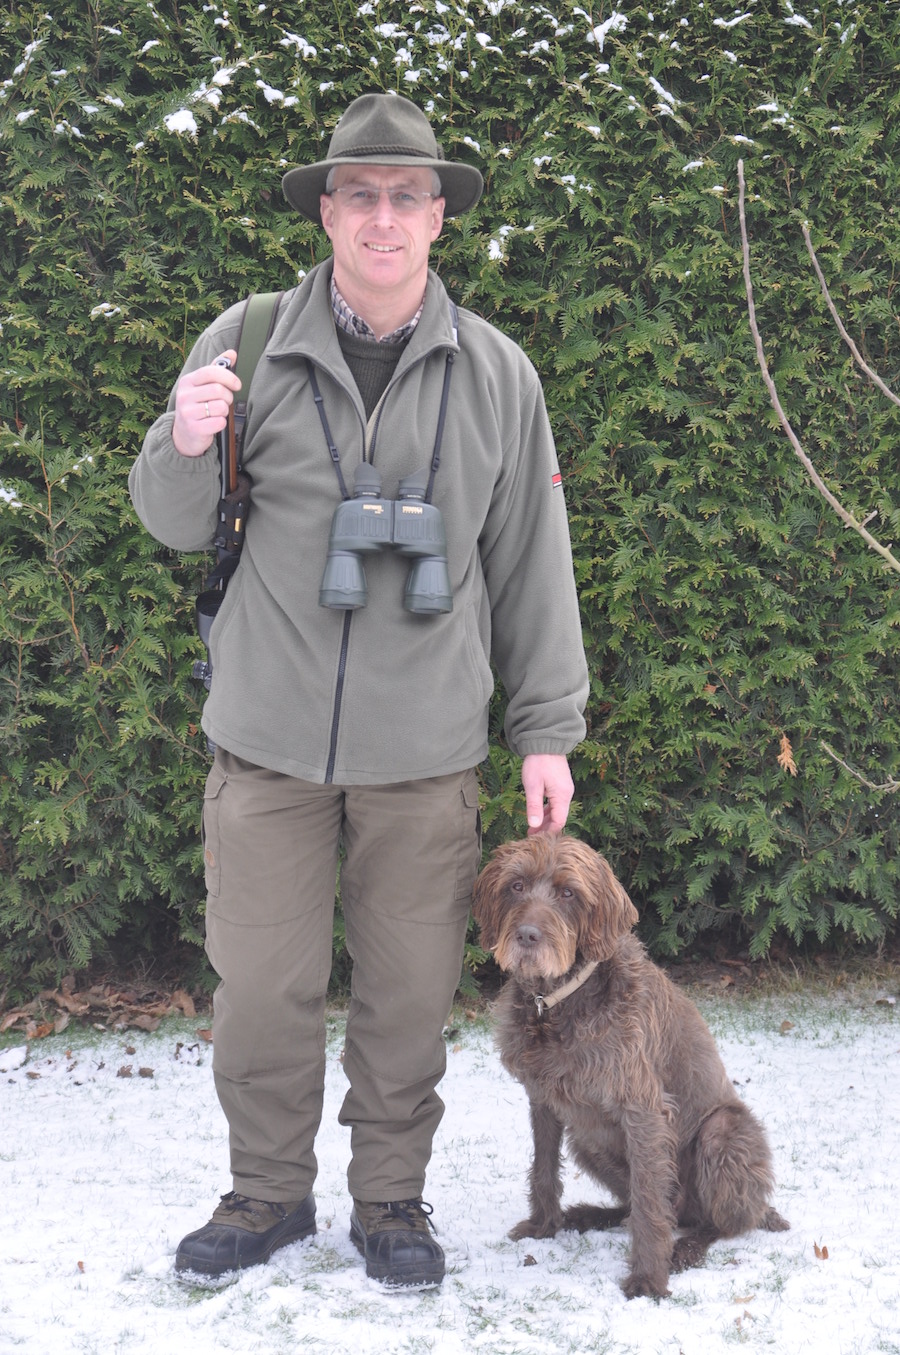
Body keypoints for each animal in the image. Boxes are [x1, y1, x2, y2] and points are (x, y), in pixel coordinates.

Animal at [471, 834, 786, 1300]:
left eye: (568, 893)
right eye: (516, 886)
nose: (527, 935)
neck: (557, 1003)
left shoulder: (643, 1110)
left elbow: (650, 1203)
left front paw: (649, 1278)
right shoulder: (543, 1099)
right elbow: (544, 1168)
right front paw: (544, 1226)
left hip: (723, 1131)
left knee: (716, 1222)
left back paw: (686, 1248)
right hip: (586, 1139)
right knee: (639, 1206)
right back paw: (587, 1216)